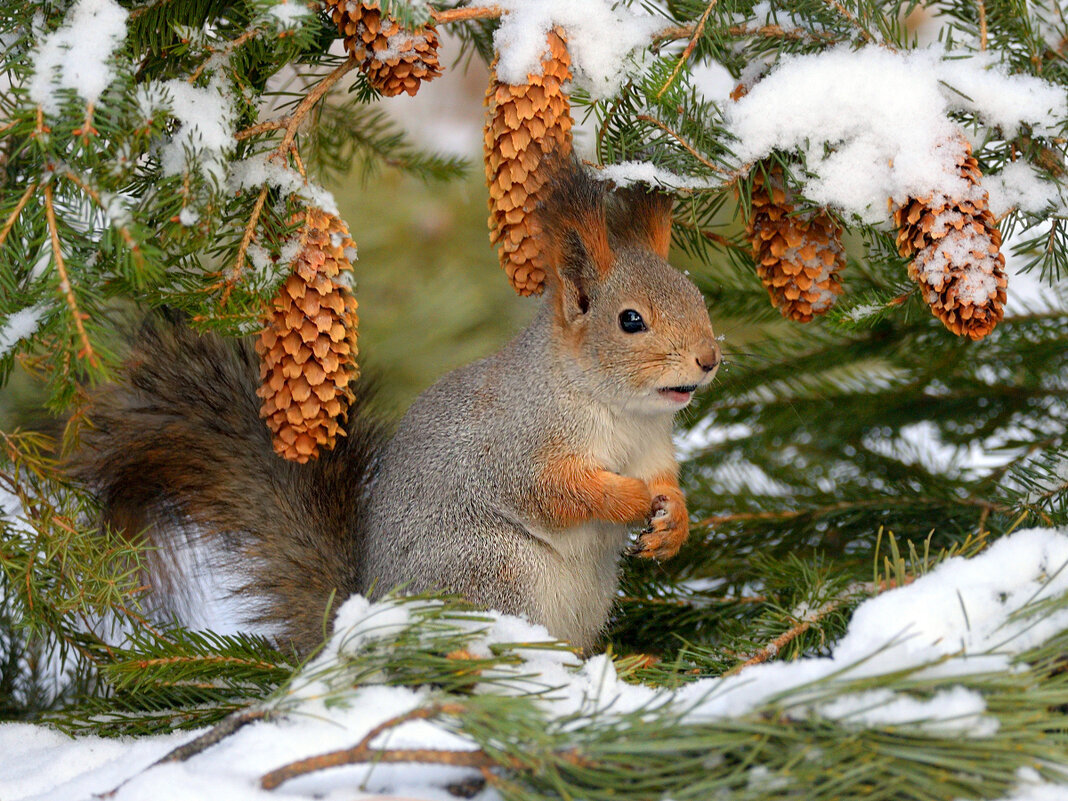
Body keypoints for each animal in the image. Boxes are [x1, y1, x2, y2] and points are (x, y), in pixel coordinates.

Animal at [71, 160, 721, 653]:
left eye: (698, 295)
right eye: (630, 320)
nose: (710, 359)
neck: (621, 413)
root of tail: (366, 617)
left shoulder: (655, 446)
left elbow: (669, 481)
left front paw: (674, 520)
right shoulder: (519, 443)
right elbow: (556, 492)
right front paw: (630, 499)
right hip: (492, 571)